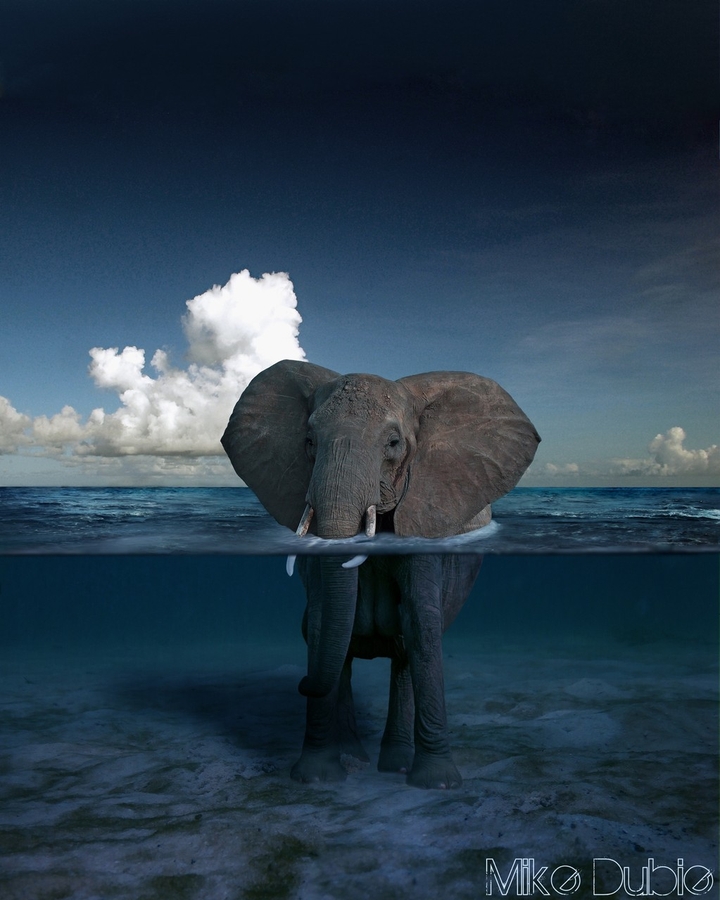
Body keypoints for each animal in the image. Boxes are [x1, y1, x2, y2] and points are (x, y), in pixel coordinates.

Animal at [221, 360, 540, 789]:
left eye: (393, 444)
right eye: (309, 441)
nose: (302, 684)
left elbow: (421, 623)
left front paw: (438, 784)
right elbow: (321, 624)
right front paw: (317, 778)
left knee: (404, 652)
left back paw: (396, 766)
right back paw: (354, 760)